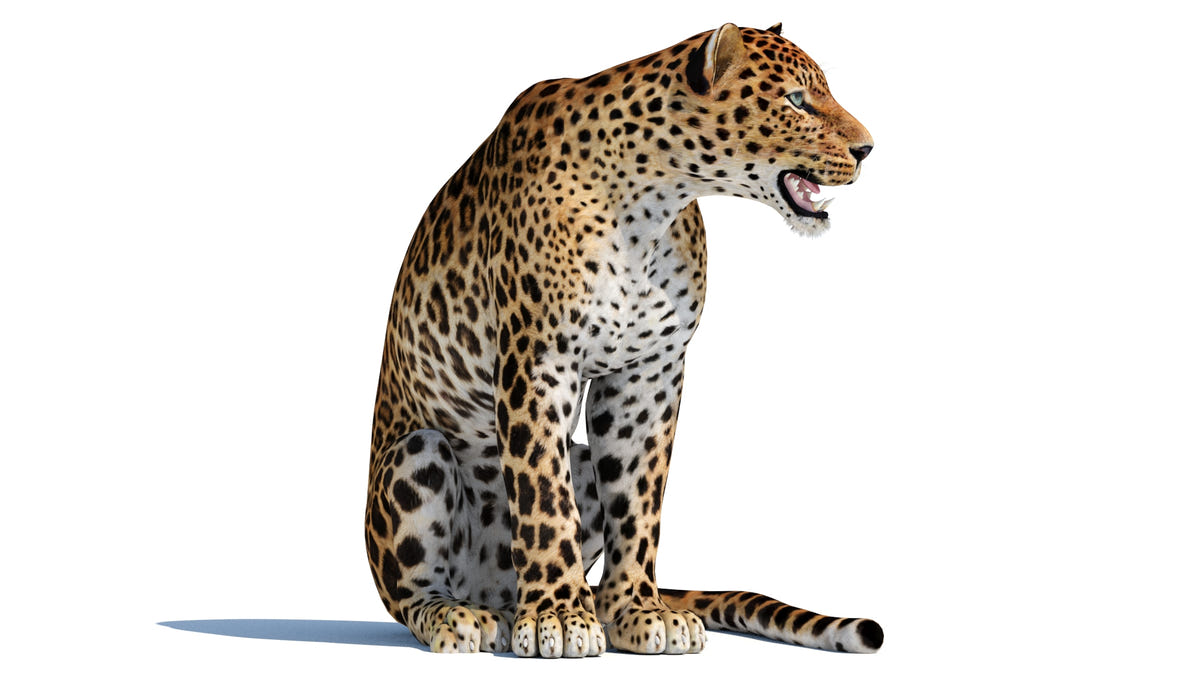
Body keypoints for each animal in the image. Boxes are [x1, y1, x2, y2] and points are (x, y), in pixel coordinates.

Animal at [365, 22, 881, 657]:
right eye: (796, 101)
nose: (868, 149)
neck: (651, 205)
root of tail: (492, 592)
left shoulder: (649, 372)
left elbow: (638, 498)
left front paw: (637, 611)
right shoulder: (540, 358)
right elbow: (543, 494)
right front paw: (560, 617)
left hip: (580, 463)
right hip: (416, 456)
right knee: (409, 592)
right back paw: (462, 618)